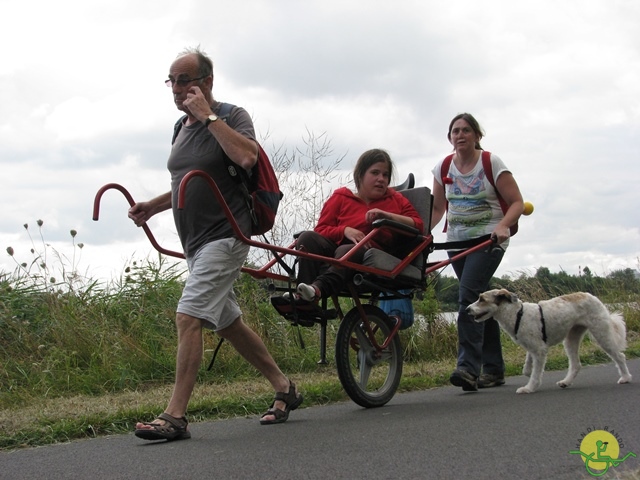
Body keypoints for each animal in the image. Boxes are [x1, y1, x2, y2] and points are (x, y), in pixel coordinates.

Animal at [468, 288, 632, 394]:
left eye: (482, 299)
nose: (467, 309)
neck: (517, 314)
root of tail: (590, 295)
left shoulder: (539, 350)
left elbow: (535, 373)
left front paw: (529, 388)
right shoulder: (532, 348)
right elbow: (527, 368)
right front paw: (529, 374)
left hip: (601, 334)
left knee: (620, 356)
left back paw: (625, 378)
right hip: (571, 339)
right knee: (576, 364)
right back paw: (566, 382)